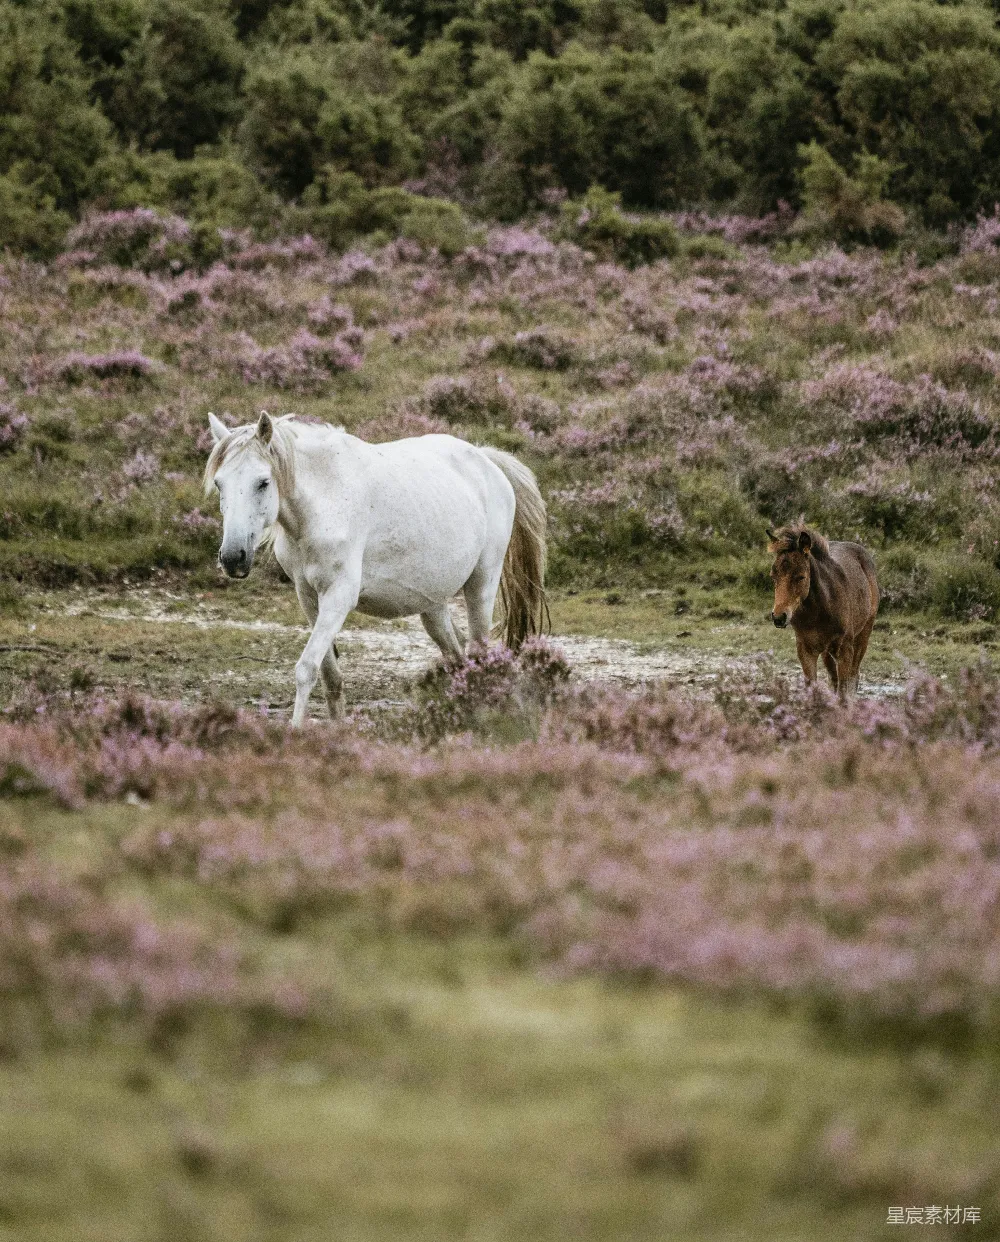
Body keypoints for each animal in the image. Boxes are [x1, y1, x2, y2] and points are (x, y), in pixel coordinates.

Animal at [204, 411, 548, 727]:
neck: (325, 501)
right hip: (433, 605)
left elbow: (306, 669)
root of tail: (488, 461)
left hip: (481, 586)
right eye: (220, 483)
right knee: (457, 657)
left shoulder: (339, 597)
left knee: (478, 655)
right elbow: (330, 677)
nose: (233, 558)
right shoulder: (309, 597)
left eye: (262, 483)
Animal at [767, 523, 879, 695]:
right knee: (833, 679)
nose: (779, 617)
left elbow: (844, 692)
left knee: (853, 678)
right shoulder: (805, 651)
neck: (818, 612)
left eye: (801, 577)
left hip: (863, 634)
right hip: (827, 652)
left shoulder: (844, 650)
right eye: (773, 576)